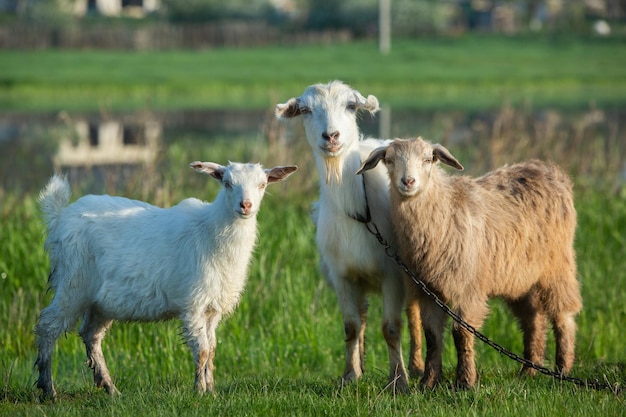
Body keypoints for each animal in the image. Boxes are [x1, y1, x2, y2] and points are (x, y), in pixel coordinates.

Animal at [34, 161, 298, 398]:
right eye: (227, 183)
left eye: (262, 184)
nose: (246, 205)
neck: (210, 231)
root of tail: (60, 216)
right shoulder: (193, 303)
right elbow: (202, 350)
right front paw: (199, 391)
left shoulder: (212, 307)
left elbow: (212, 349)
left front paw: (211, 390)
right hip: (73, 283)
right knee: (48, 326)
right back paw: (48, 389)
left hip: (101, 301)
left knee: (91, 335)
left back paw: (110, 388)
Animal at [276, 81, 422, 390]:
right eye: (305, 110)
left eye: (351, 106)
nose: (331, 136)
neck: (359, 209)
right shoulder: (342, 275)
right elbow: (351, 326)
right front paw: (350, 375)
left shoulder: (393, 273)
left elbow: (392, 328)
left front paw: (399, 381)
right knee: (363, 316)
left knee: (414, 313)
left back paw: (416, 367)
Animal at [356, 138, 580, 388]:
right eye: (390, 160)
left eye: (427, 159)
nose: (408, 181)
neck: (444, 210)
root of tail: (548, 169)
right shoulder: (427, 290)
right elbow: (432, 335)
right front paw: (429, 382)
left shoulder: (467, 288)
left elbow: (461, 333)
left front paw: (465, 381)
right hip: (520, 277)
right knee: (533, 318)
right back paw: (528, 371)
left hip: (558, 265)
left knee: (563, 314)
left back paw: (562, 369)